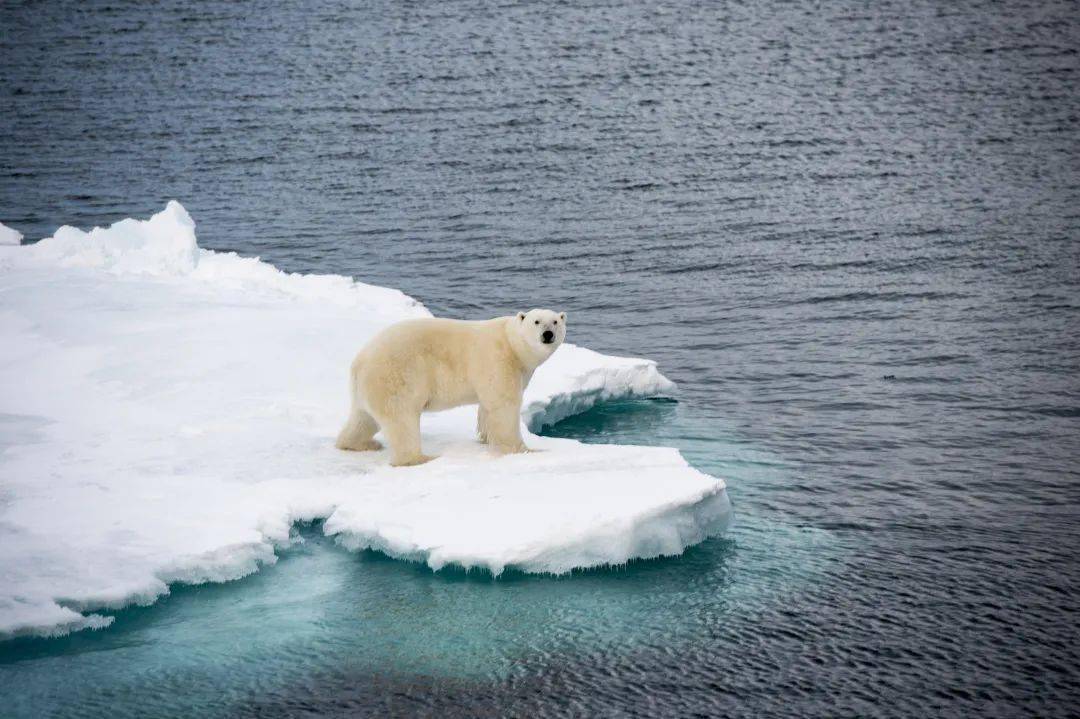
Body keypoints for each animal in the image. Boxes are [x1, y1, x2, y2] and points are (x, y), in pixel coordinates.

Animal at [334, 306, 570, 464]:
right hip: (396, 376)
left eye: (555, 322)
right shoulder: (497, 359)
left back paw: (360, 443)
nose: (547, 334)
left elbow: (487, 407)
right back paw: (420, 458)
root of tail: (359, 362)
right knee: (401, 418)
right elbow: (503, 405)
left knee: (364, 418)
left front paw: (485, 437)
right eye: (536, 321)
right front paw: (523, 450)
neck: (512, 344)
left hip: (368, 387)